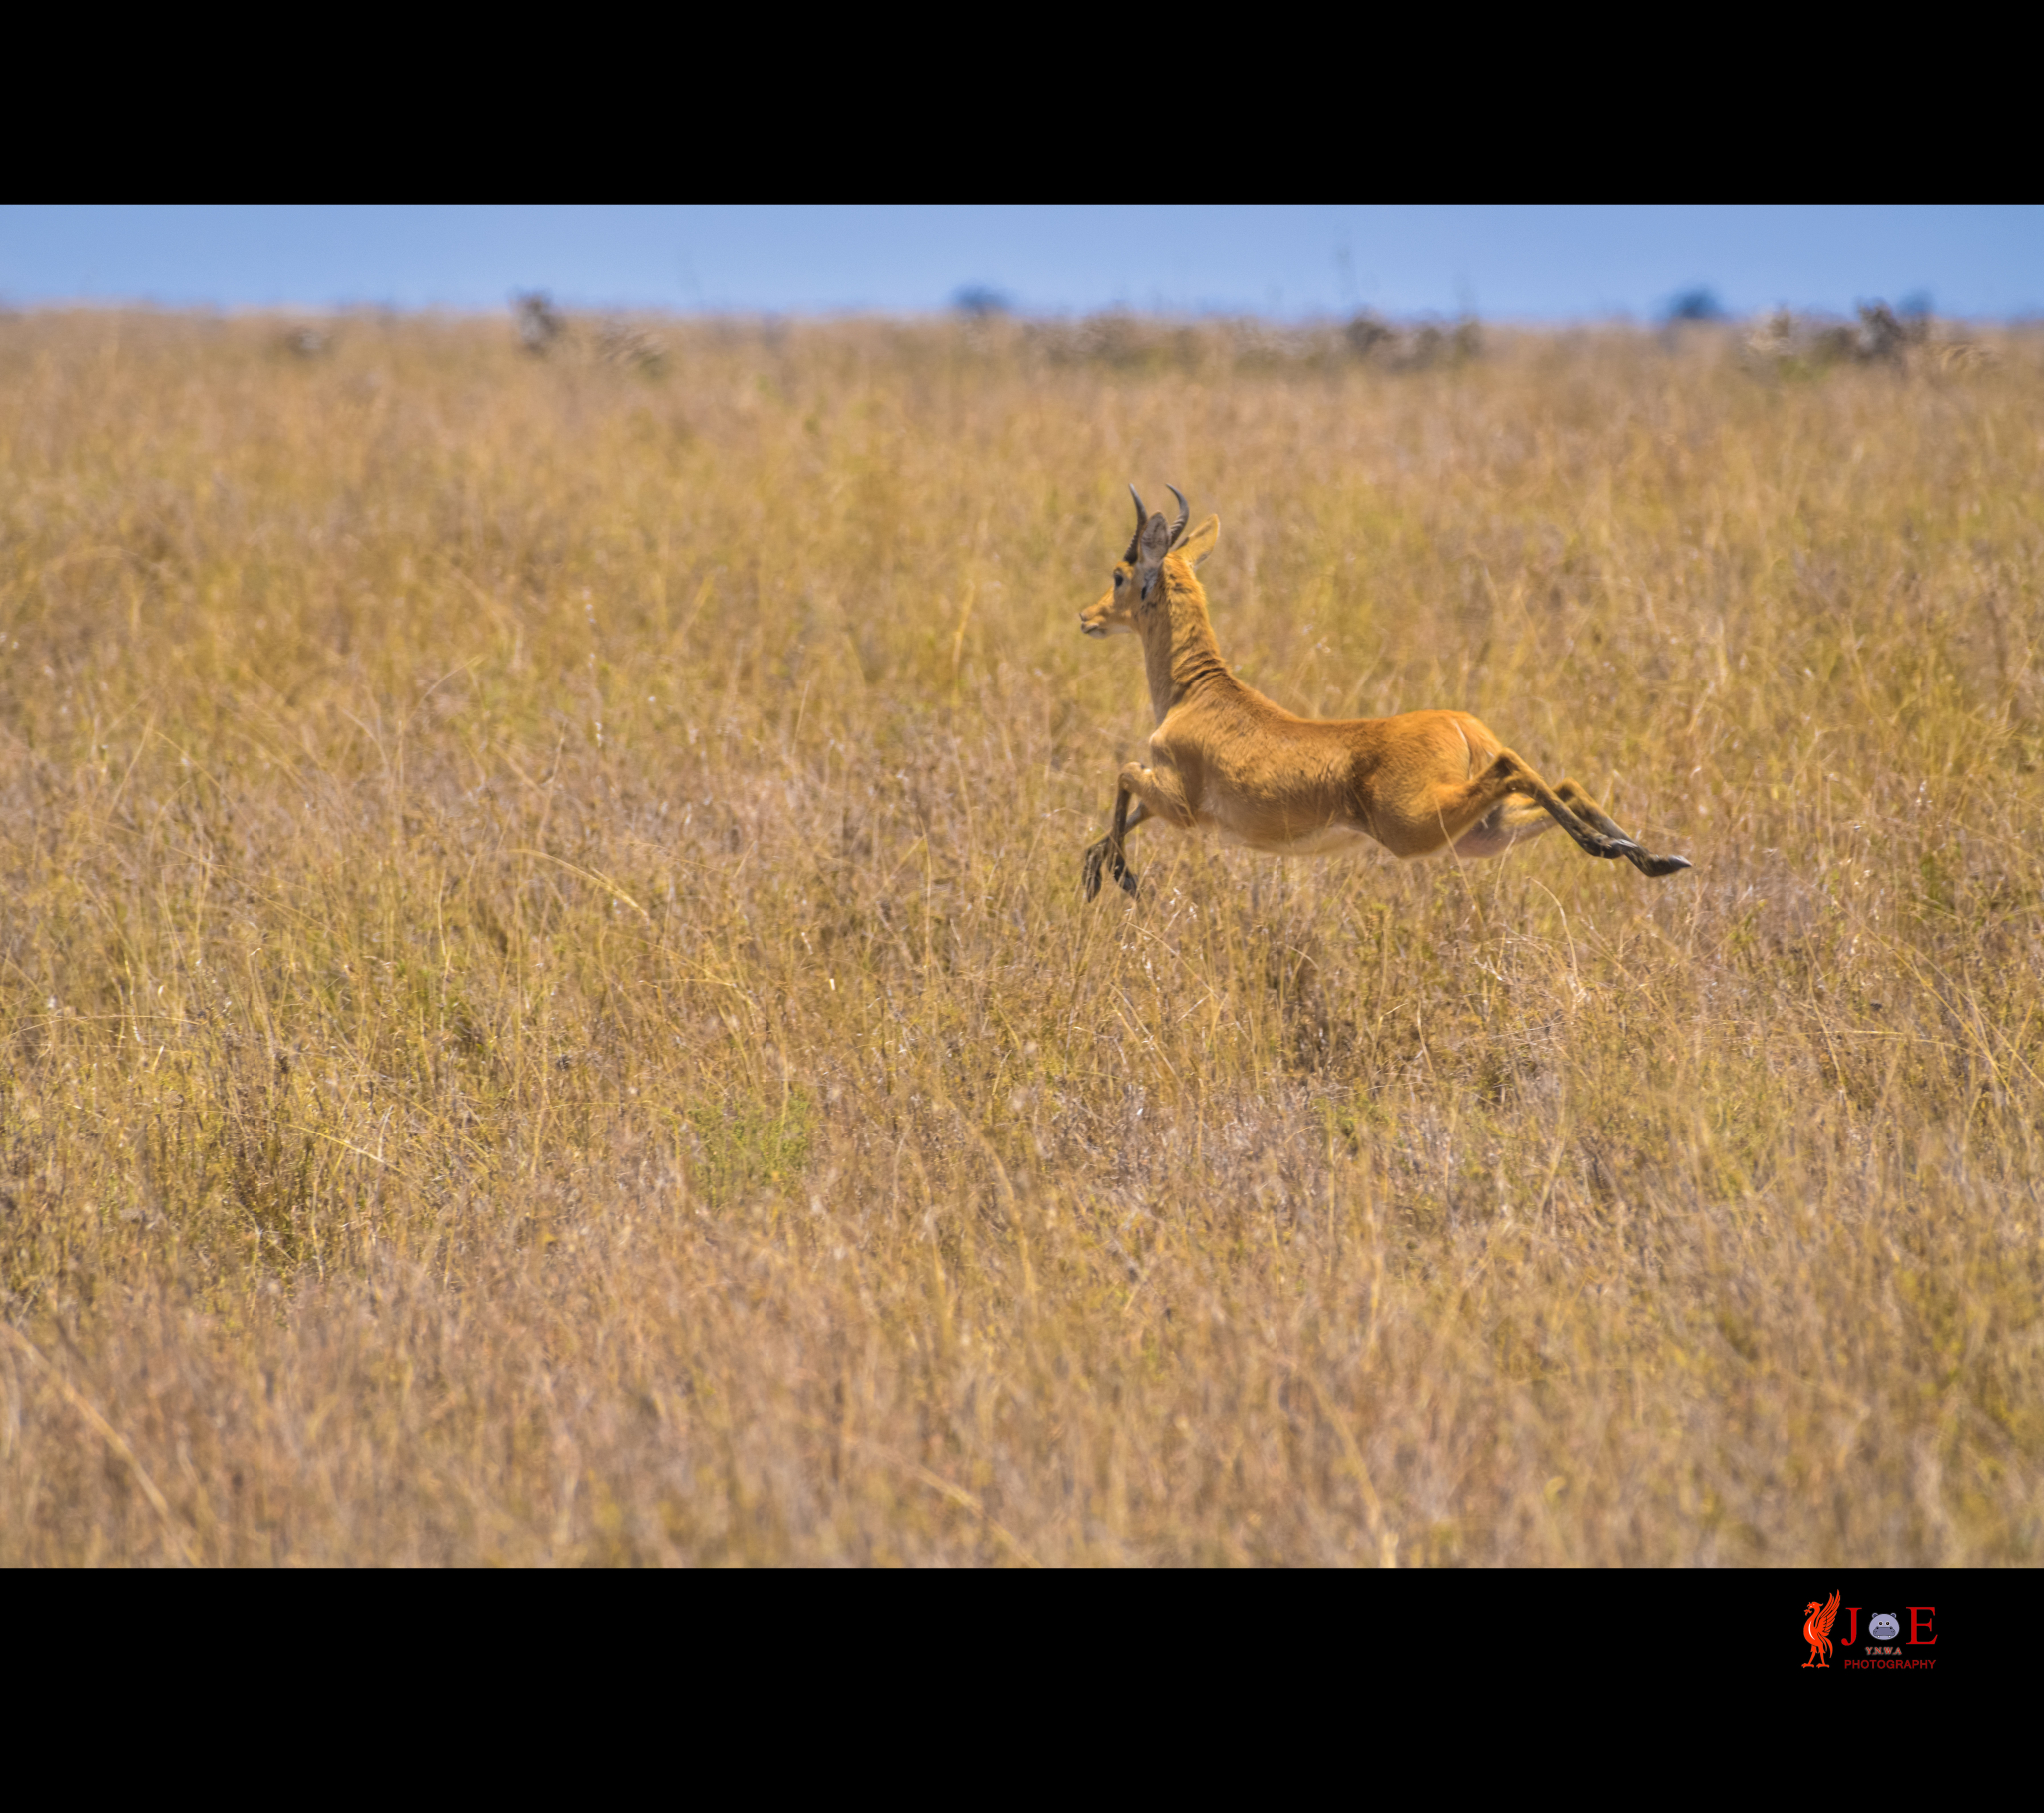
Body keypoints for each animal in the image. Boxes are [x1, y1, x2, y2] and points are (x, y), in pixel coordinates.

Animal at [1079, 488, 1684, 899]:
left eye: (1118, 574)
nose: (1086, 616)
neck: (1194, 694)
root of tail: (1463, 726)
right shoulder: (1166, 799)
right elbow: (1115, 819)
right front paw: (1097, 868)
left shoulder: (1181, 805)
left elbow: (1124, 772)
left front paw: (1119, 878)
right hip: (1479, 834)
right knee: (1565, 783)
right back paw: (1649, 856)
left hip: (1419, 828)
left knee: (1516, 767)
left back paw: (1617, 849)